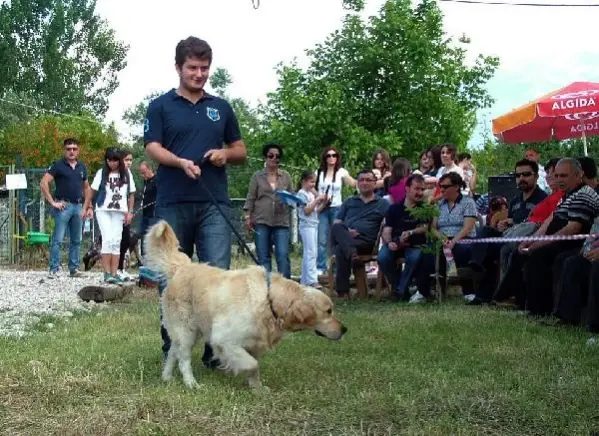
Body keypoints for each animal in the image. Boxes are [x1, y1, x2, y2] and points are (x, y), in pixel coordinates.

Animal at [143, 220, 346, 390]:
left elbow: (254, 367)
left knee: (172, 352)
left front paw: (258, 389)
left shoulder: (253, 343)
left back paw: (167, 378)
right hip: (186, 330)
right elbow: (252, 364)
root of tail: (183, 267)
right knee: (183, 358)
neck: (269, 300)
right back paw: (191, 383)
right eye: (328, 311)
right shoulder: (224, 339)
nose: (344, 330)